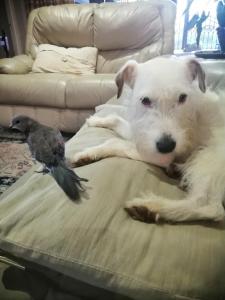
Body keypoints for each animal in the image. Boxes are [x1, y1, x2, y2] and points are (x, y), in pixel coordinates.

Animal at [72, 56, 225, 223]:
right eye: (145, 100)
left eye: (182, 98)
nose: (166, 146)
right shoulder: (141, 134)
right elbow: (116, 119)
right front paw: (96, 121)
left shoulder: (160, 155)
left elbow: (116, 142)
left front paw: (88, 153)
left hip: (208, 157)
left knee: (210, 207)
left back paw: (151, 207)